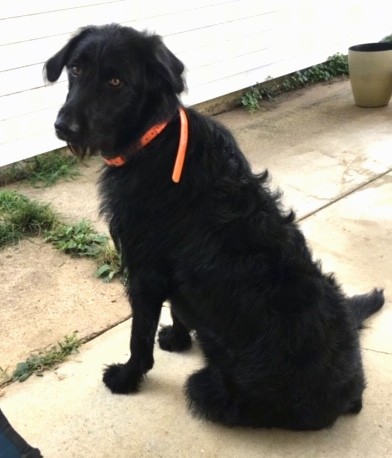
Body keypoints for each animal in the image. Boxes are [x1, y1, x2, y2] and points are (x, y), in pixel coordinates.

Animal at [44, 23, 384, 432]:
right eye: (76, 68)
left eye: (115, 81)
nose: (63, 127)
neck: (153, 139)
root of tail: (351, 394)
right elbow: (176, 307)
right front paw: (178, 338)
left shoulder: (144, 272)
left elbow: (138, 337)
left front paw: (127, 377)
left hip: (206, 388)